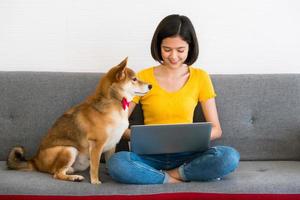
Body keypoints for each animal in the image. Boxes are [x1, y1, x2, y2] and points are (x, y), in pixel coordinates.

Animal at [6, 57, 152, 184]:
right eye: (134, 79)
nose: (150, 86)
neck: (116, 101)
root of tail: (35, 160)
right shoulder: (96, 144)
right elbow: (95, 166)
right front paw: (95, 181)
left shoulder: (111, 145)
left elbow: (110, 162)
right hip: (70, 149)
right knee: (56, 173)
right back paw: (74, 178)